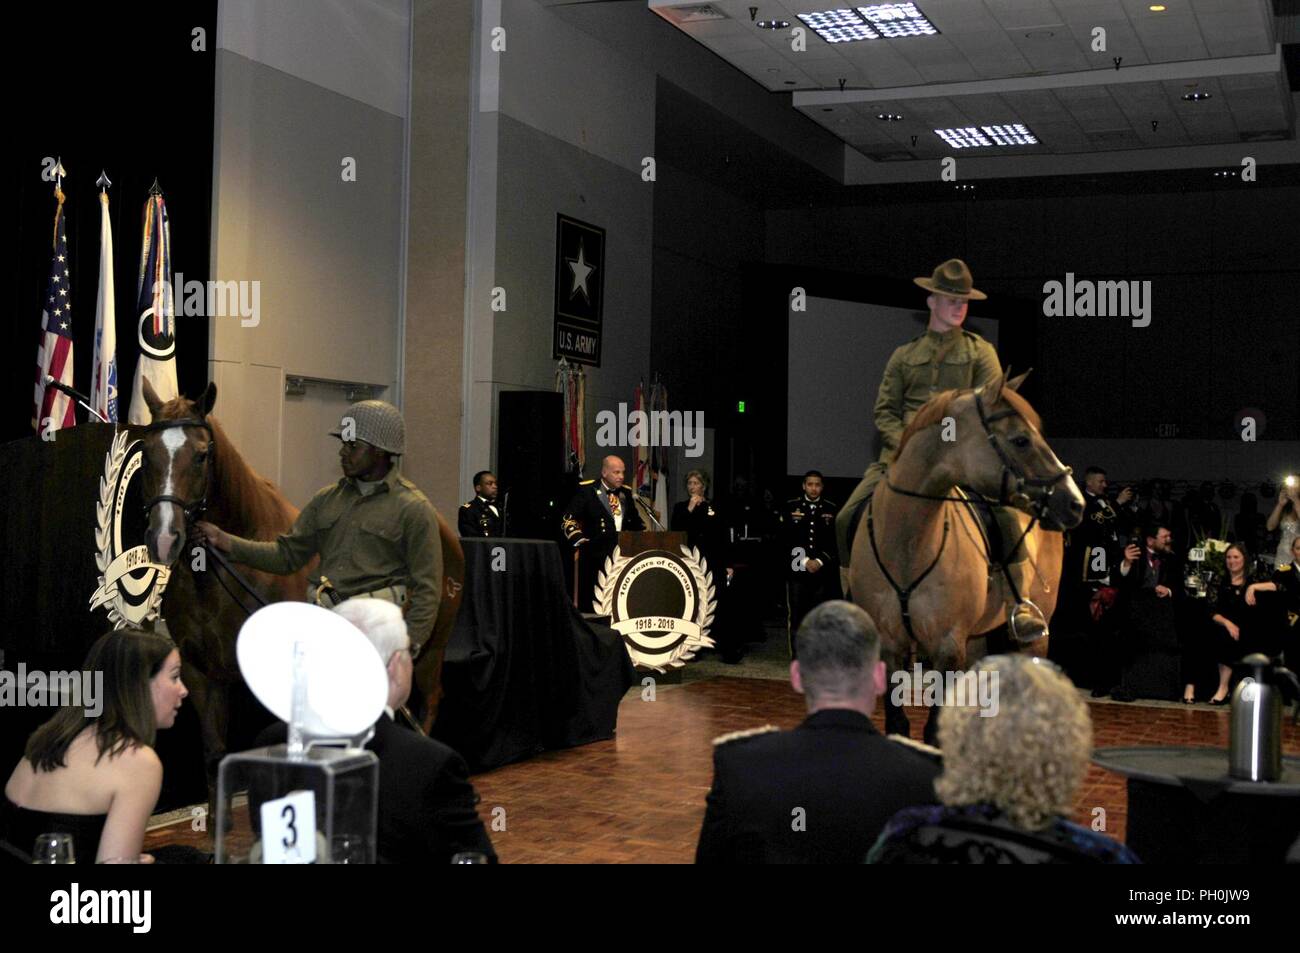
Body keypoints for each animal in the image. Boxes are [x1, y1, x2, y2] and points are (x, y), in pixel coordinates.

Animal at [131, 379, 465, 800]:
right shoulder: (202, 675)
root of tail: (442, 527)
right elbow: (214, 760)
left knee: (428, 704)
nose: (164, 537)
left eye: (202, 455)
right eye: (146, 452)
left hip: (429, 652)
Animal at [847, 369, 1081, 743]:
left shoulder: (947, 645)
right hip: (975, 638)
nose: (1075, 503)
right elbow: (898, 723)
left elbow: (934, 728)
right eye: (1020, 440)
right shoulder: (891, 644)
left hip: (1036, 627)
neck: (908, 543)